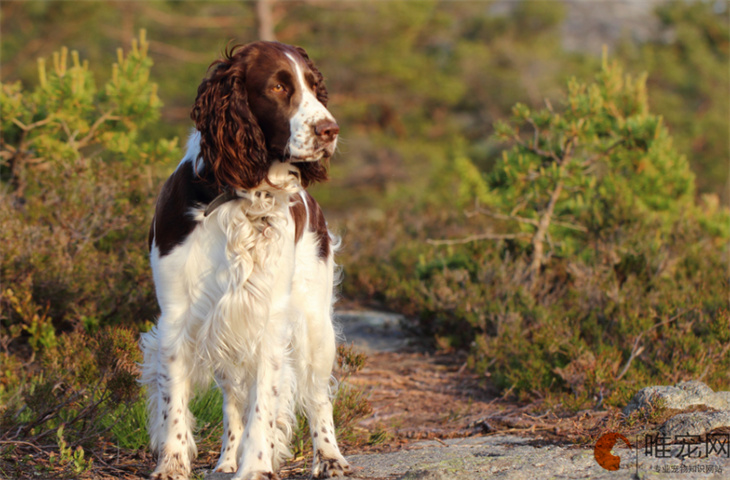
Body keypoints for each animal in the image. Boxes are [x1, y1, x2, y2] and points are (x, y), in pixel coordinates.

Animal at [141, 40, 350, 480]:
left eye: (313, 86)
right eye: (277, 87)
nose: (330, 130)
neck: (243, 194)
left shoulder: (268, 318)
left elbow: (264, 407)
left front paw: (256, 466)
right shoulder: (179, 316)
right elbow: (174, 403)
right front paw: (173, 463)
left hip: (314, 322)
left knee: (317, 395)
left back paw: (329, 457)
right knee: (232, 399)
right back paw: (225, 461)